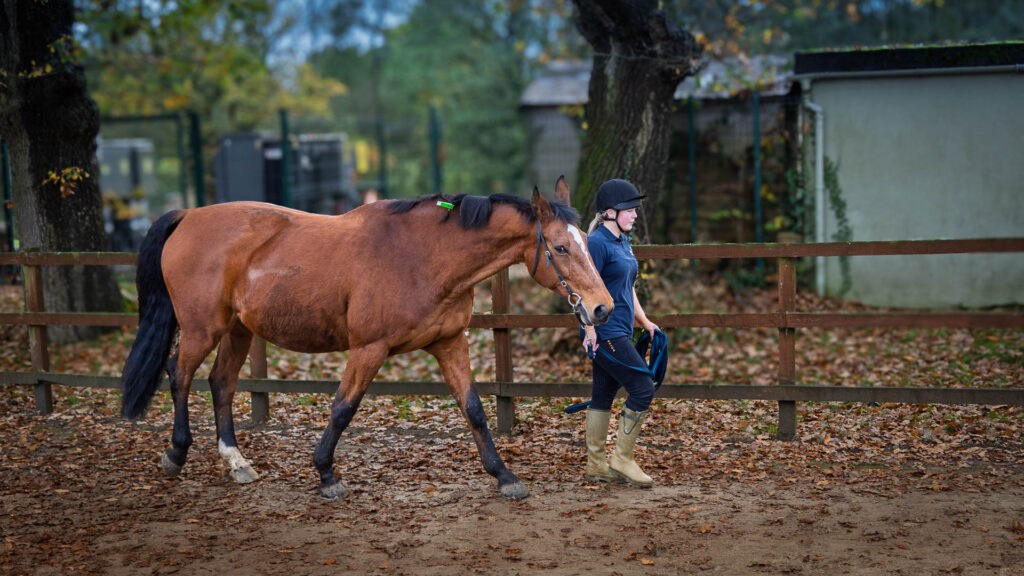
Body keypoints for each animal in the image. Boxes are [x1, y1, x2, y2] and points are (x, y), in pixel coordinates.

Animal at [120, 177, 612, 500]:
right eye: (561, 248)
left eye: (586, 242)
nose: (602, 308)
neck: (423, 256)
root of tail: (187, 216)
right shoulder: (369, 350)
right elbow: (343, 409)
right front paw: (326, 474)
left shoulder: (450, 343)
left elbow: (473, 409)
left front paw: (504, 476)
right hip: (202, 329)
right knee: (179, 377)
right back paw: (176, 453)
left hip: (239, 331)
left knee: (220, 383)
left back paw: (236, 462)